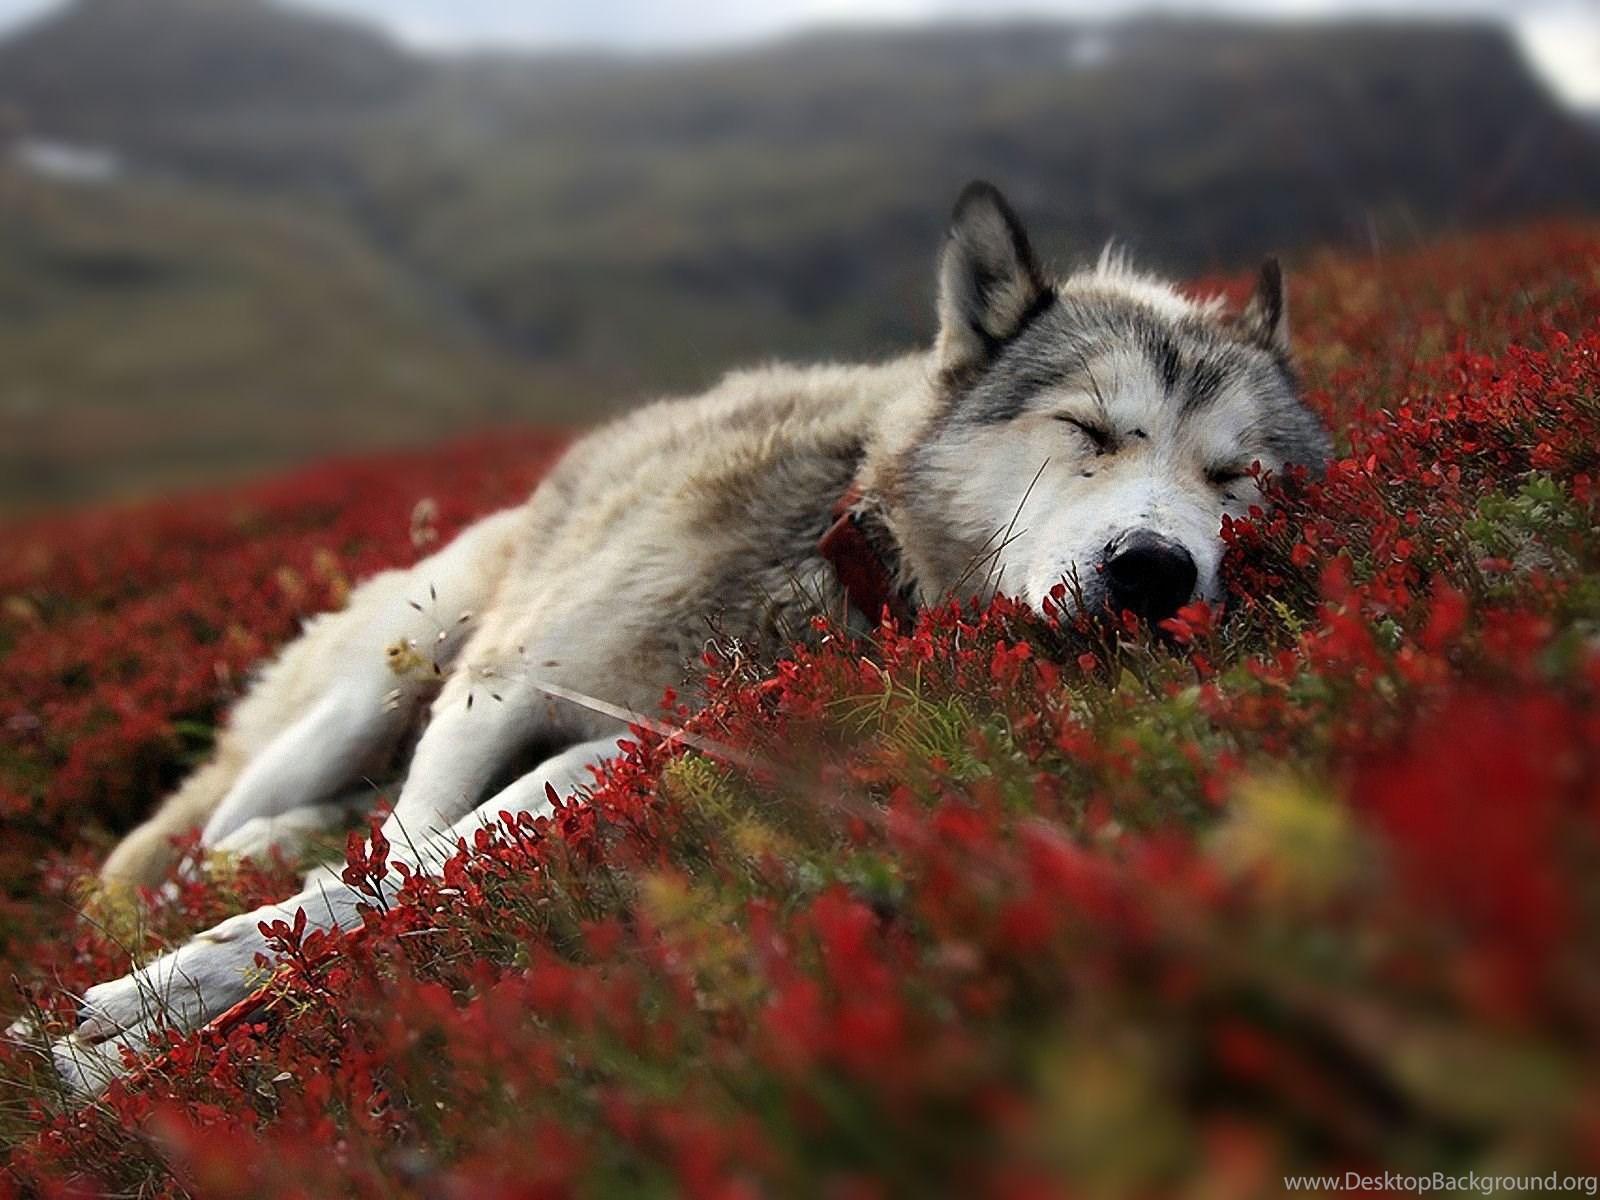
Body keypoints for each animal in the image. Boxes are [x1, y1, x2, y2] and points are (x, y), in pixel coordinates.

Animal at [41, 182, 1327, 1092]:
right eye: (1089, 431)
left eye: (1235, 477)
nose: (1154, 573)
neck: (834, 555)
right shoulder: (499, 688)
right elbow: (396, 856)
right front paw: (150, 1010)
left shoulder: (631, 749)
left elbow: (413, 871)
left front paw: (148, 1030)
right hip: (396, 668)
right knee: (191, 834)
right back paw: (197, 876)